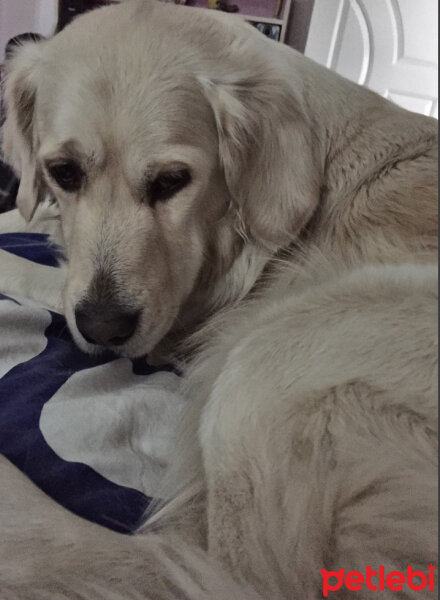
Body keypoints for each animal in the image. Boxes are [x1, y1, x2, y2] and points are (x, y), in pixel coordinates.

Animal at [1, 1, 438, 600]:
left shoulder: (174, 319)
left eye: (172, 180)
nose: (104, 328)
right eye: (63, 172)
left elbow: (33, 270)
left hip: (272, 354)